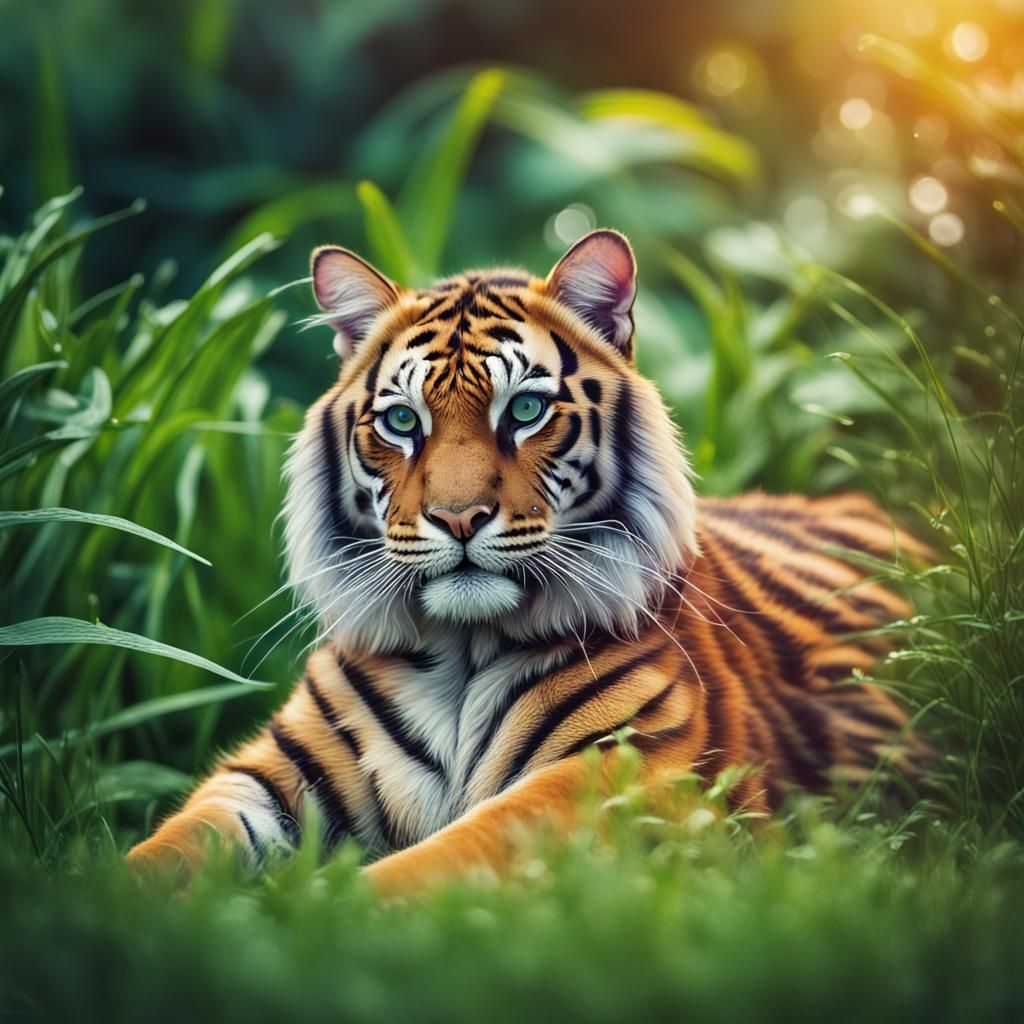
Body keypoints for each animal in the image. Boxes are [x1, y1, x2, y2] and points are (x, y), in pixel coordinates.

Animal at [127, 229, 928, 893]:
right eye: (402, 420)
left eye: (523, 411)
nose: (457, 518)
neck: (461, 651)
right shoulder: (278, 771)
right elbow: (172, 843)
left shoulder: (634, 770)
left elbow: (456, 851)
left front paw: (317, 914)